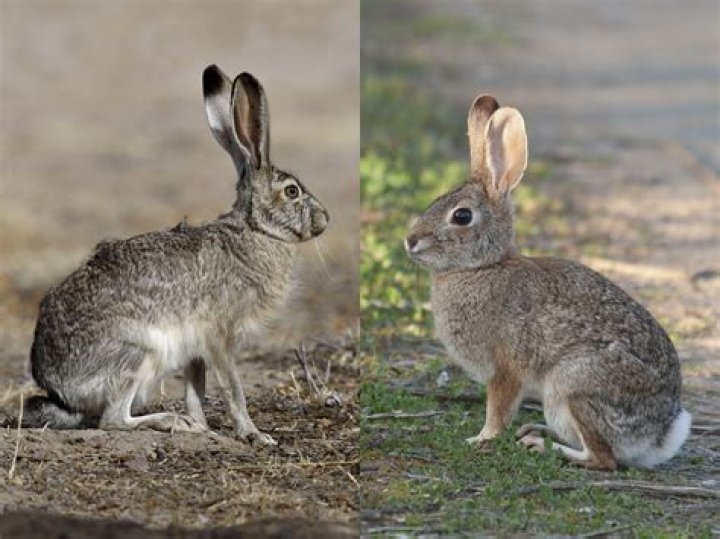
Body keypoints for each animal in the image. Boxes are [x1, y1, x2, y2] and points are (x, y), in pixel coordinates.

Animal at [23, 65, 328, 445]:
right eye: (292, 191)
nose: (324, 220)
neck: (255, 230)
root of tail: (58, 389)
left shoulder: (195, 348)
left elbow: (196, 389)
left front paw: (203, 427)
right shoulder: (218, 334)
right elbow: (232, 388)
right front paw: (254, 435)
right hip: (136, 355)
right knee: (113, 420)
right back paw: (170, 421)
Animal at [405, 94, 690, 470]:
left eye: (462, 216)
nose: (410, 241)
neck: (482, 267)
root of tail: (659, 435)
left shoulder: (506, 367)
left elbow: (498, 410)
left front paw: (480, 438)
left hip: (570, 385)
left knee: (603, 458)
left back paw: (542, 446)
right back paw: (536, 431)